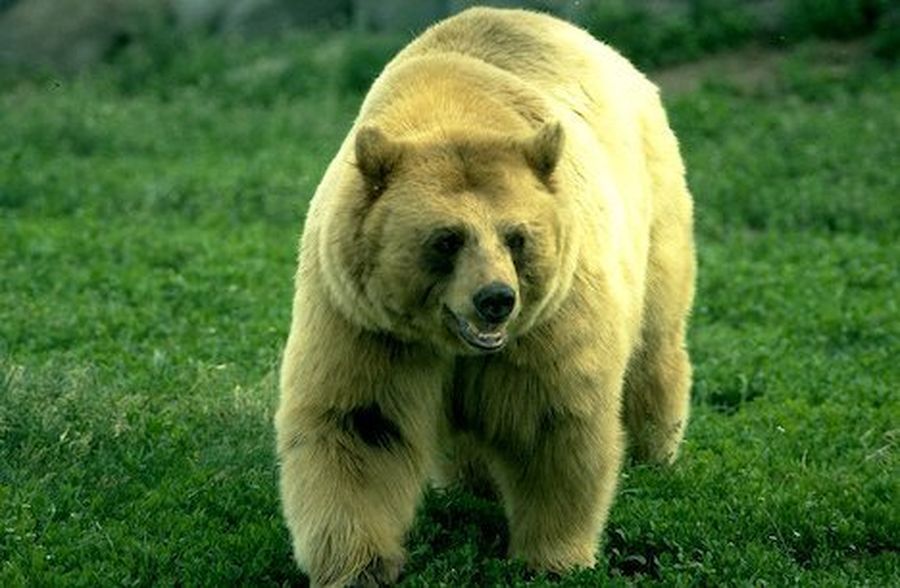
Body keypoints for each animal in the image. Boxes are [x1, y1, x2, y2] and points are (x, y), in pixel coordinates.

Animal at [275, 7, 695, 587]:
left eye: (516, 237)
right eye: (447, 239)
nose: (495, 299)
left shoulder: (549, 322)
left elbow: (554, 423)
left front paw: (554, 556)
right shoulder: (366, 323)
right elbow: (360, 424)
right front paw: (358, 565)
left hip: (652, 213)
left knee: (654, 343)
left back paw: (654, 452)